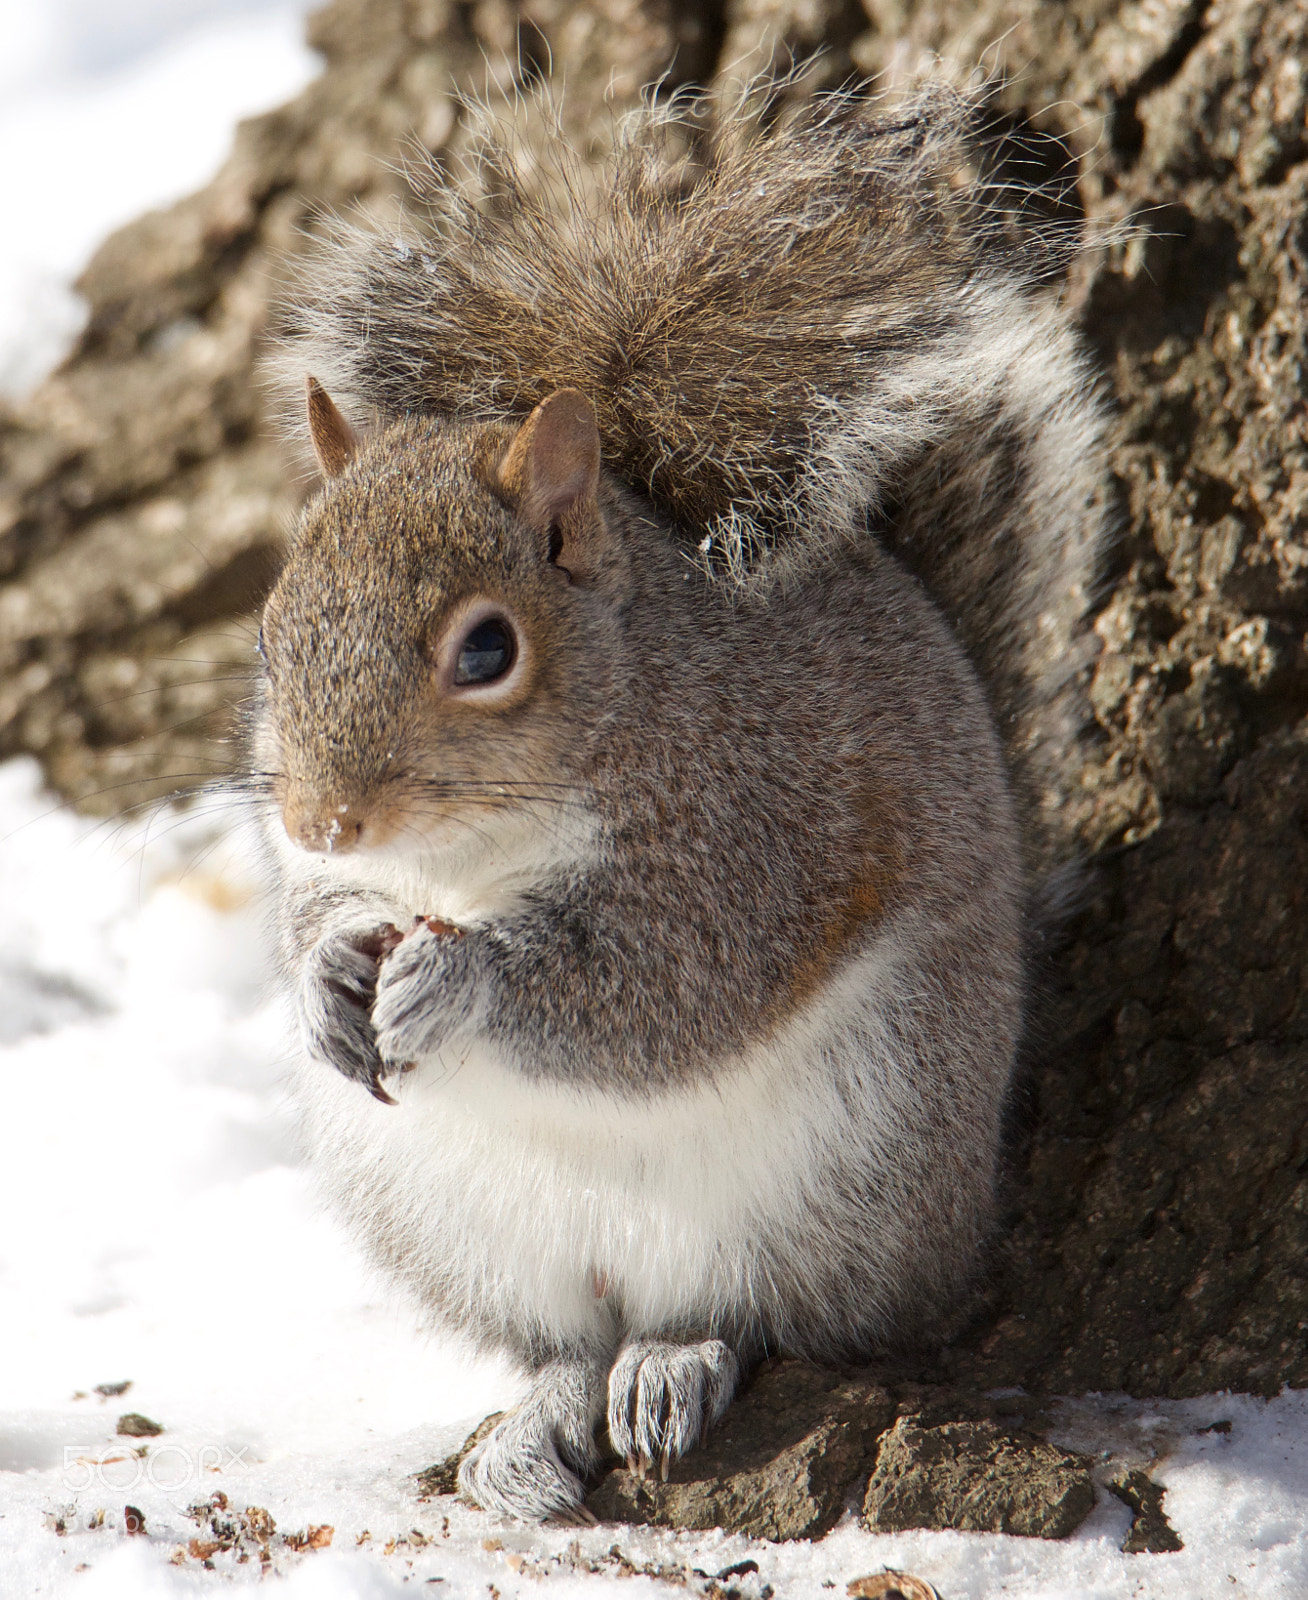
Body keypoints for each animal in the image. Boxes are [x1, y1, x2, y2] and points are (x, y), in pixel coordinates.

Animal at [250, 82, 1105, 1522]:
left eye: (488, 649)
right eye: (270, 630)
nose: (323, 820)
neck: (472, 857)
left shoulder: (750, 833)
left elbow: (659, 989)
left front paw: (460, 981)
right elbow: (314, 921)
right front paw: (325, 973)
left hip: (854, 1164)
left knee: (763, 1313)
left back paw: (675, 1360)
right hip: (446, 1214)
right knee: (558, 1339)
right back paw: (546, 1410)